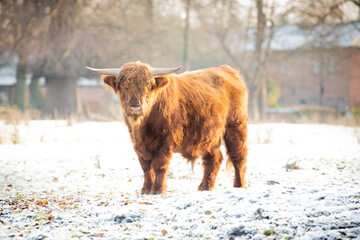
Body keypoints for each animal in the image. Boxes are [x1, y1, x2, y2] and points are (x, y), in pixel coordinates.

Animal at [86, 61, 248, 194]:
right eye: (124, 86)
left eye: (148, 85)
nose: (135, 107)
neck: (143, 127)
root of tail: (227, 70)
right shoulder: (137, 144)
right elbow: (146, 167)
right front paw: (146, 189)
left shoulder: (166, 141)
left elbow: (160, 165)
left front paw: (158, 190)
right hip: (209, 135)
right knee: (214, 158)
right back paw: (205, 187)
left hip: (235, 126)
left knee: (238, 156)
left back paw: (239, 186)